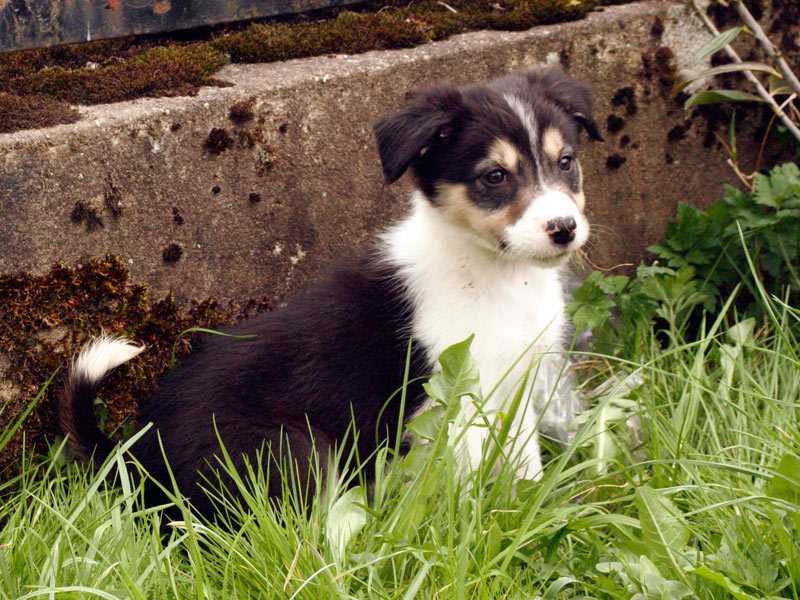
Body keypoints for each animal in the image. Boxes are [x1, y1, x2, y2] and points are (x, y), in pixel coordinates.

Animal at [61, 64, 600, 516]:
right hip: (293, 451)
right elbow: (466, 482)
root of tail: (137, 461)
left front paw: (532, 515)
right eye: (494, 176)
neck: (494, 272)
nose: (564, 229)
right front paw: (479, 525)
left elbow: (524, 464)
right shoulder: (455, 398)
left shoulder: (517, 388)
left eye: (566, 161)